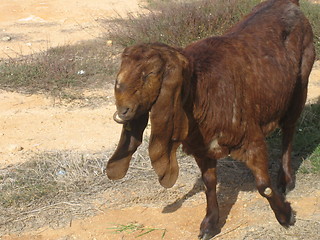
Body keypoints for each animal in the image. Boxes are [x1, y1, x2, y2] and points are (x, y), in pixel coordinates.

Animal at [107, 0, 316, 238]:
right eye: (120, 73)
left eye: (150, 74)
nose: (124, 111)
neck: (202, 89)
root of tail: (287, 3)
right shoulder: (201, 147)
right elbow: (209, 183)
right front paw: (209, 224)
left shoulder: (251, 139)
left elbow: (264, 186)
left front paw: (286, 216)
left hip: (301, 81)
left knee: (289, 130)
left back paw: (286, 180)